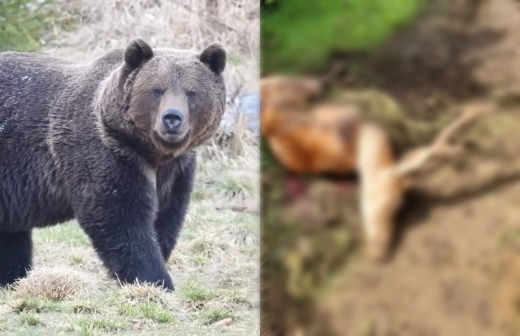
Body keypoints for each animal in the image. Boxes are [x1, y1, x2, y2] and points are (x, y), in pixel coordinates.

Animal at [0, 39, 225, 292]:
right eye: (157, 90)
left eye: (192, 93)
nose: (172, 117)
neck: (154, 153)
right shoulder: (108, 153)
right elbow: (120, 218)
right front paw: (155, 280)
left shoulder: (176, 171)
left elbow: (166, 217)